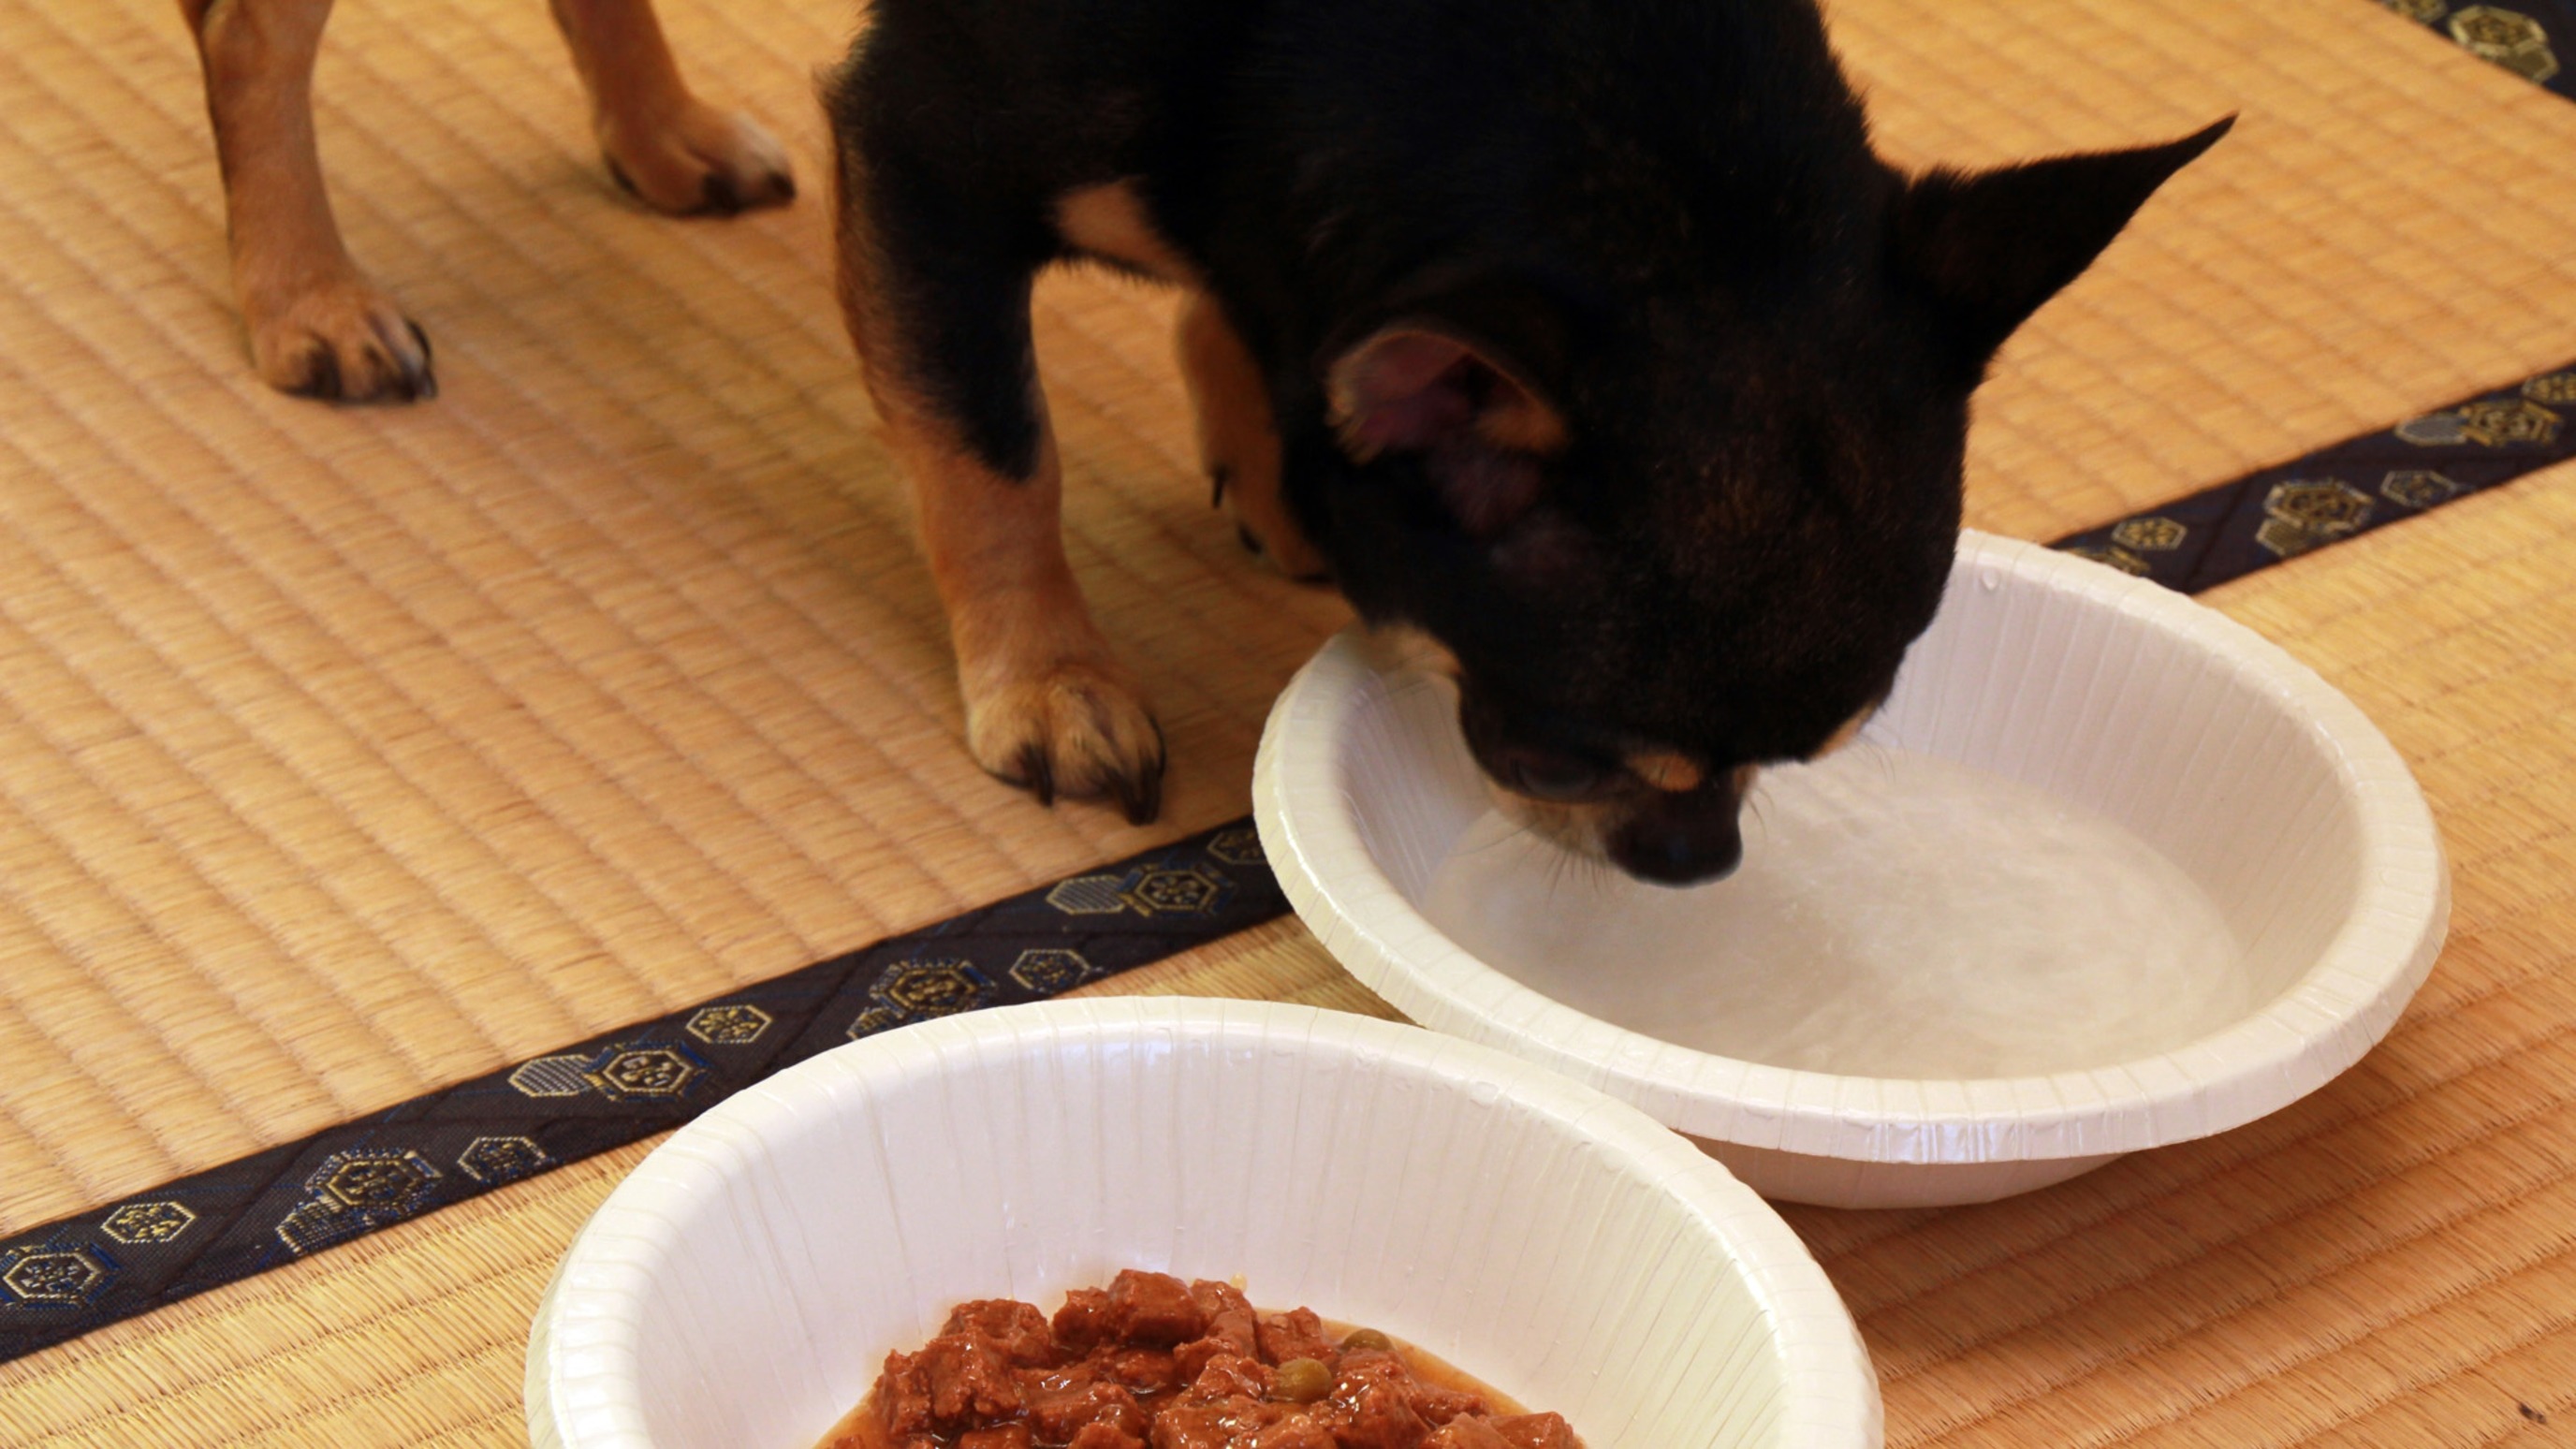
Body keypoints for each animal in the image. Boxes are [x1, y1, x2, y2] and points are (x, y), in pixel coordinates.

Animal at [829, 0, 2235, 882]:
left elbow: (1248, 323)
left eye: (1822, 754)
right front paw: (1050, 680)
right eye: (1553, 760)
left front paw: (1270, 466)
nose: (1697, 863)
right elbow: (996, 457)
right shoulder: (920, 161)